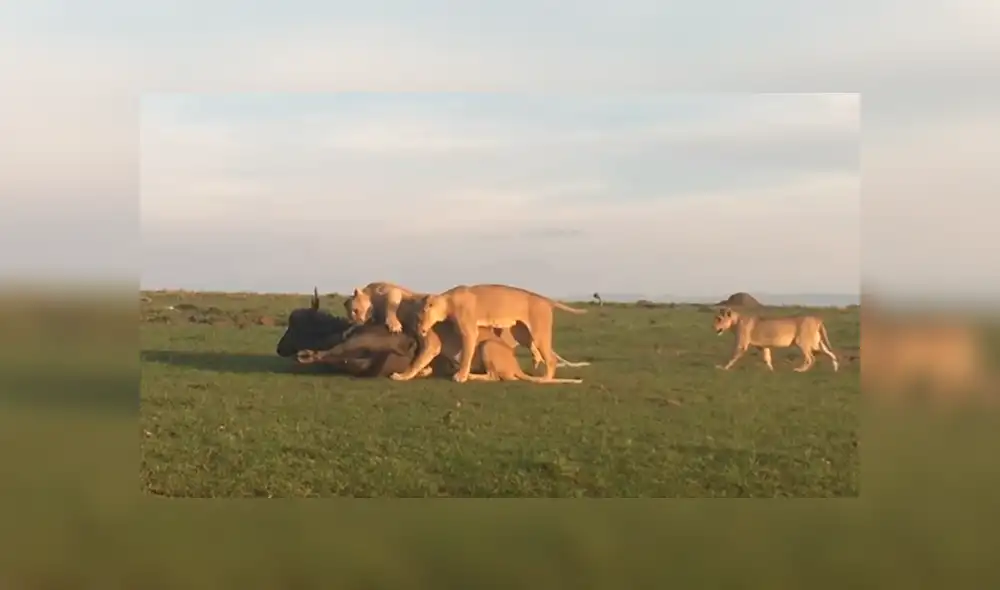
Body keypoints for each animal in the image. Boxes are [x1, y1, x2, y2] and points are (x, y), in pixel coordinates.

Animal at [347, 281, 591, 370]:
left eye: (353, 308)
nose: (354, 319)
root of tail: (543, 298)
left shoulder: (392, 292)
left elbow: (392, 303)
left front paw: (394, 323)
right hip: (520, 330)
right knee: (532, 347)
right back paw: (536, 361)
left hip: (532, 330)